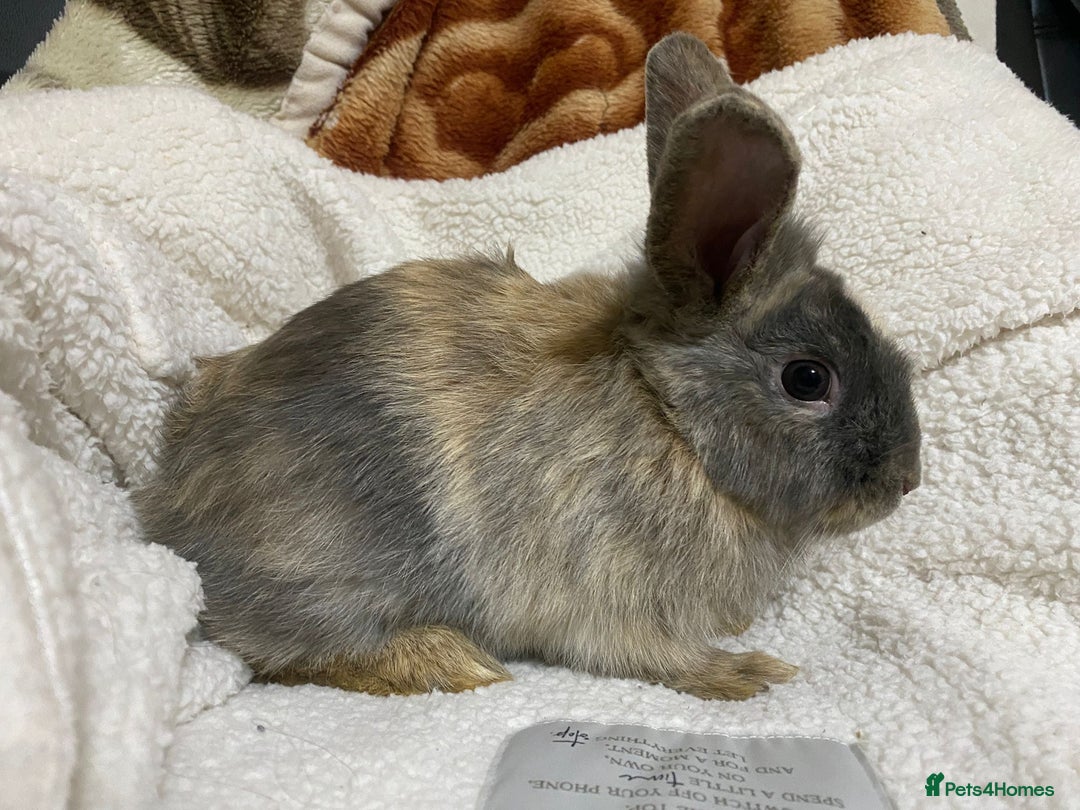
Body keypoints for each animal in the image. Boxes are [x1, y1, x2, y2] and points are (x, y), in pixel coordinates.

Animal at [134, 32, 921, 701]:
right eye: (807, 379)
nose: (906, 482)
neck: (669, 417)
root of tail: (166, 515)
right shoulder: (611, 590)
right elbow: (658, 656)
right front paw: (747, 672)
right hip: (325, 572)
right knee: (294, 649)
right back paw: (451, 662)